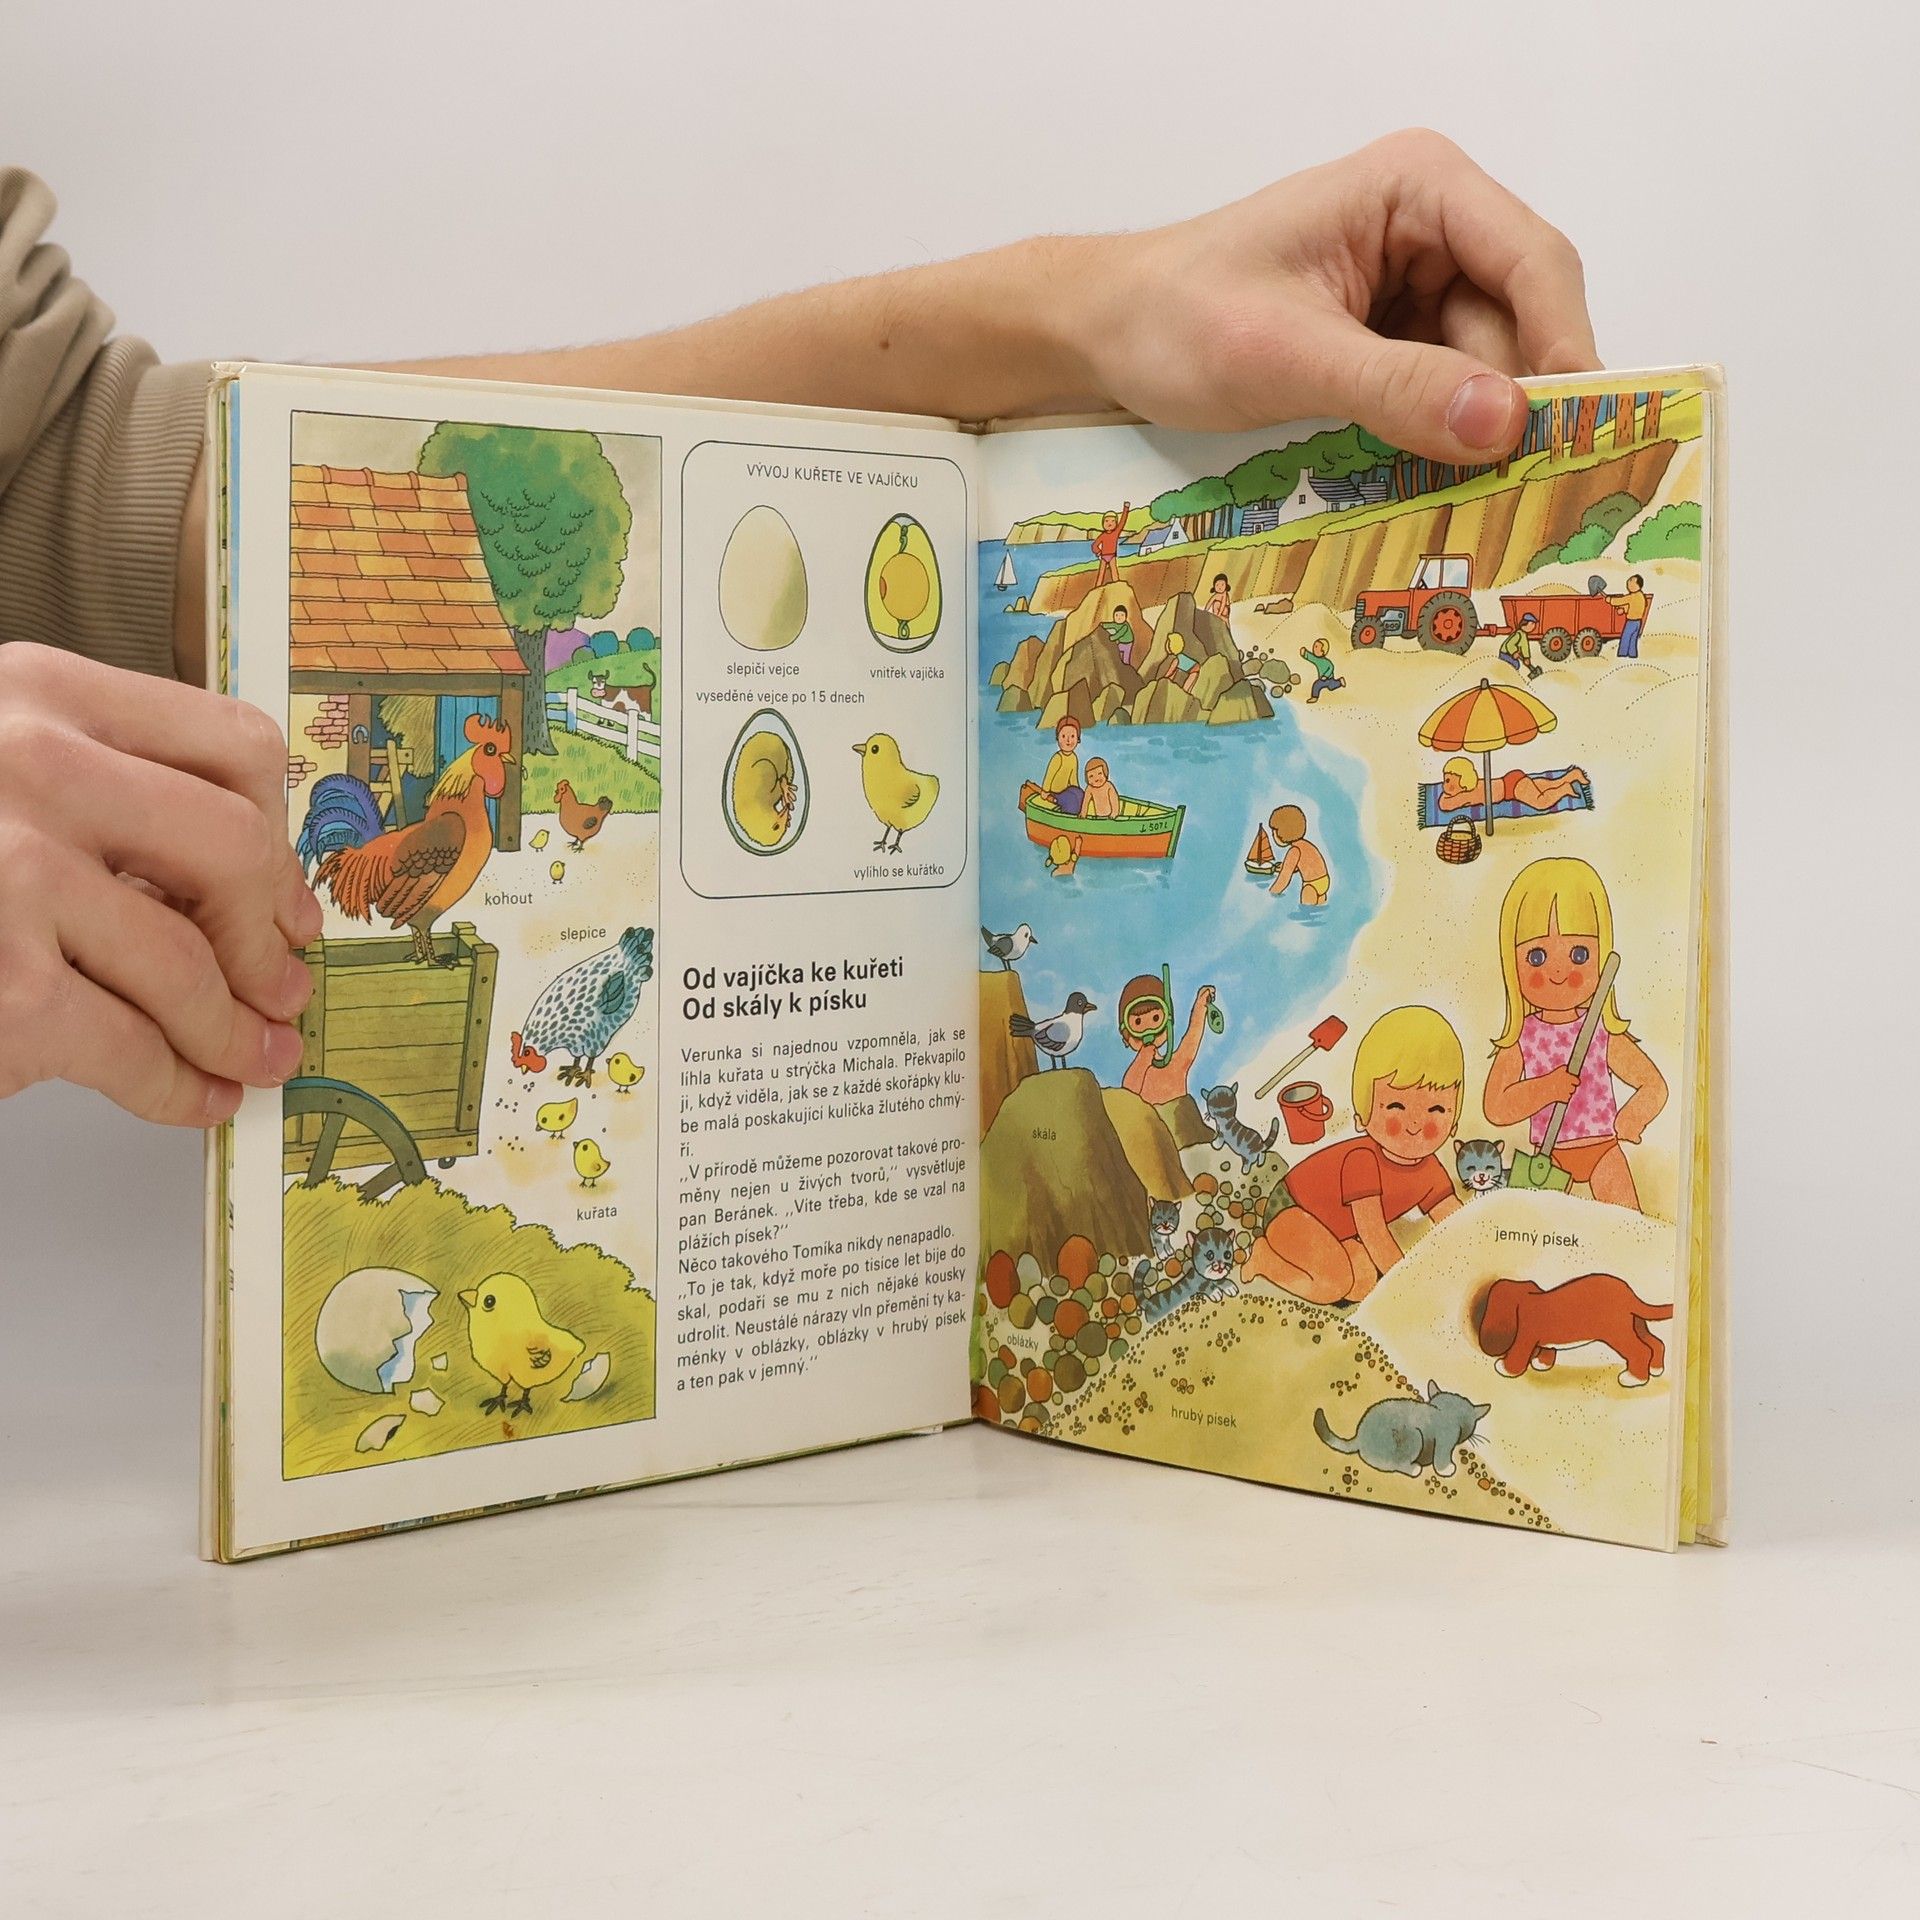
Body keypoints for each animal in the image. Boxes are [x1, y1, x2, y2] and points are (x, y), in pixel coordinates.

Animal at [1313, 1382, 1490, 1479]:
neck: (1444, 1411)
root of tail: (1359, 1437)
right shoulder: (1445, 1438)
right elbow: (1442, 1456)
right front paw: (1446, 1469)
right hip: (1413, 1436)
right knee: (1395, 1464)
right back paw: (1414, 1468)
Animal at [1475, 1273, 1673, 1387]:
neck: (1526, 1298)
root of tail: (1630, 1295)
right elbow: (1548, 1350)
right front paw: (1541, 1363)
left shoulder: (1526, 1336)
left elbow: (1518, 1353)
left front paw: (1504, 1368)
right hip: (1637, 1323)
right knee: (1656, 1343)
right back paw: (1655, 1369)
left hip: (1617, 1331)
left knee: (1641, 1350)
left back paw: (1633, 1379)